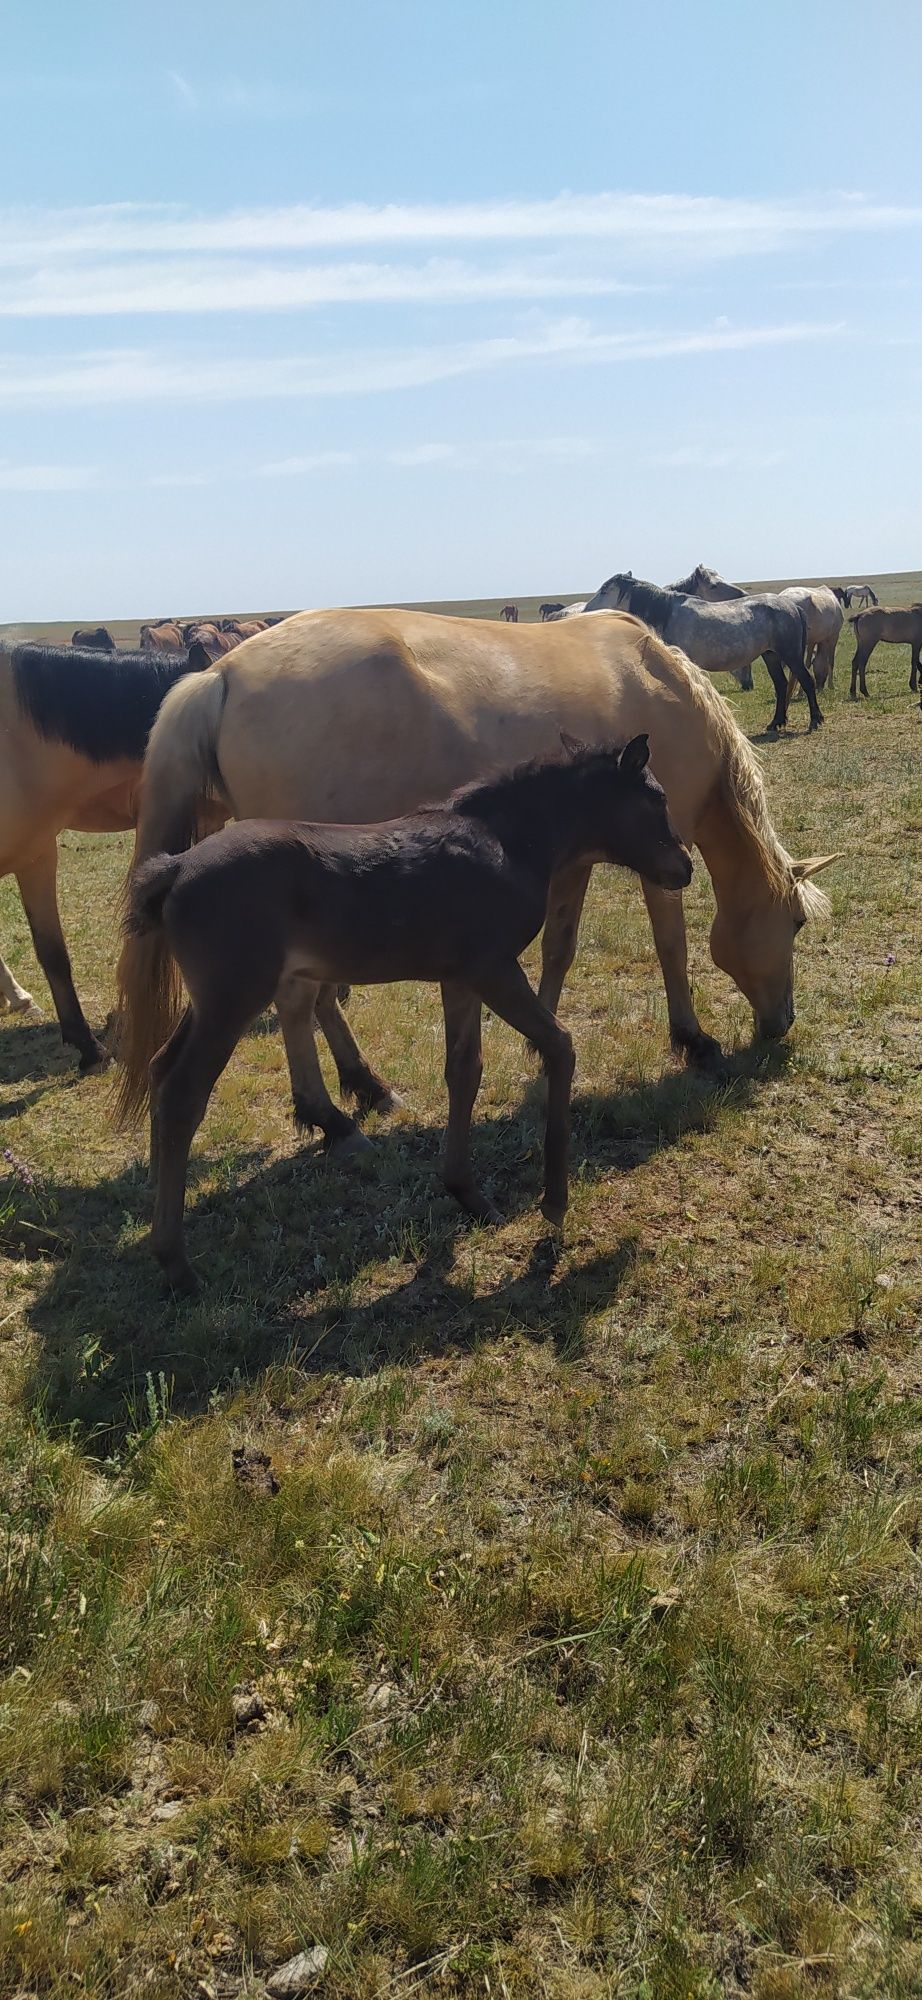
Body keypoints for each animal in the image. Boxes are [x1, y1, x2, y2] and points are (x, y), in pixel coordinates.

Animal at [115, 600, 832, 1144]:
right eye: (796, 924)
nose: (782, 1024)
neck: (664, 683)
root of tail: (223, 674)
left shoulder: (574, 862)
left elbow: (560, 948)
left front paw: (538, 1036)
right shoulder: (659, 856)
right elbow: (671, 946)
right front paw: (692, 1038)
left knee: (310, 1002)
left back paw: (355, 1091)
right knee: (299, 1002)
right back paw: (337, 1106)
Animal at [117, 732, 688, 1280]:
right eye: (656, 799)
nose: (683, 867)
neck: (505, 842)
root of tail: (176, 867)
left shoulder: (460, 979)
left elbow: (464, 1071)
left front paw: (468, 1194)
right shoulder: (494, 967)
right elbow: (560, 1047)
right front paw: (554, 1201)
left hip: (212, 1001)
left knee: (160, 1068)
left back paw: (152, 1204)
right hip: (233, 1000)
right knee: (184, 1094)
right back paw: (174, 1259)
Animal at [584, 576, 820, 740]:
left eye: (605, 589)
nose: (585, 610)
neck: (666, 615)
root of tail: (792, 606)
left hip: (790, 655)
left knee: (807, 681)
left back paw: (815, 721)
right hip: (770, 655)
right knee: (781, 685)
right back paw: (775, 723)